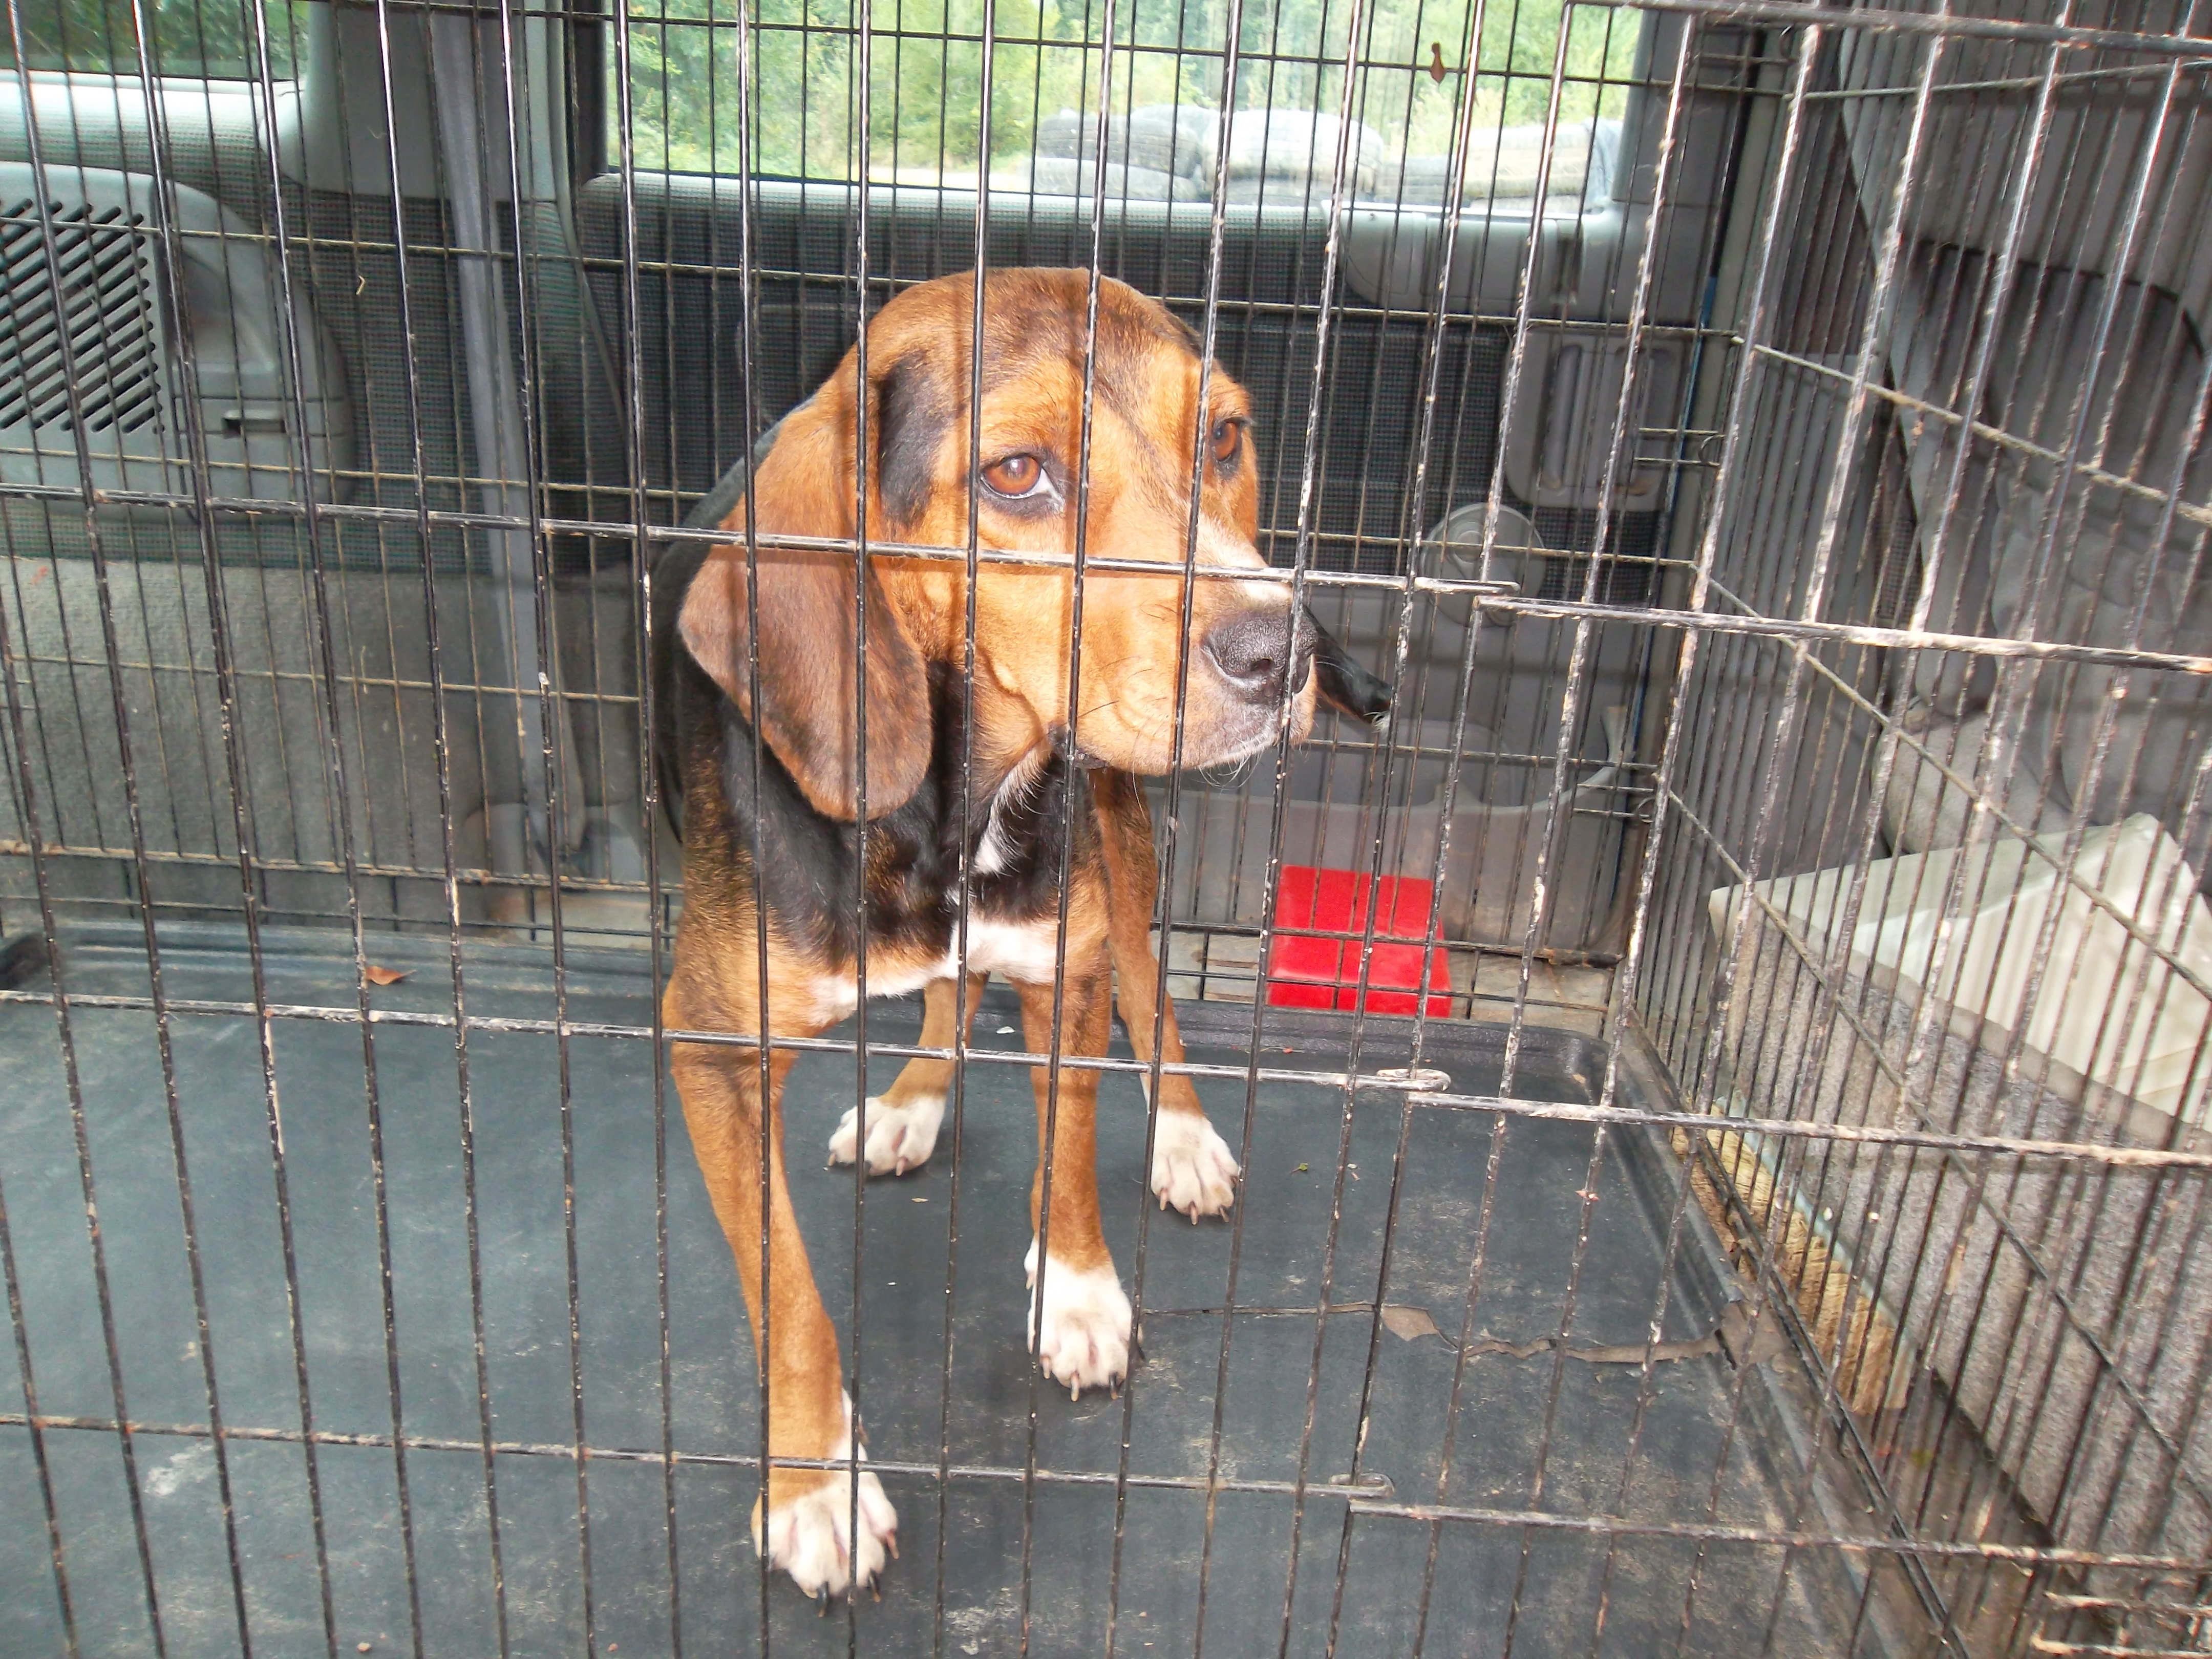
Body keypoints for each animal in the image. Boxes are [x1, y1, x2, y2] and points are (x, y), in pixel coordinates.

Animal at [646, 266, 1389, 1601]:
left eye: (1224, 439)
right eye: (1018, 474)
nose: (1283, 649)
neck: (954, 801)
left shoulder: (1067, 960)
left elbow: (1073, 1144)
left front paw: (1079, 1294)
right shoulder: (714, 1048)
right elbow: (787, 1289)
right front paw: (816, 1483)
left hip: (1120, 842)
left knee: (1152, 994)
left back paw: (1183, 1136)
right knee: (951, 990)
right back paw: (914, 1099)